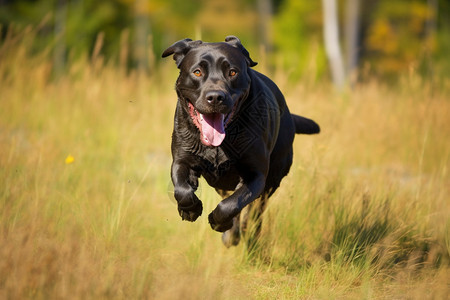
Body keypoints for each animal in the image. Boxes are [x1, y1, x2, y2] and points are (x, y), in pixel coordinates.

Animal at [163, 35, 320, 246]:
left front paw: (219, 223)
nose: (215, 97)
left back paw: (243, 233)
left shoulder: (256, 176)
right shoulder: (182, 160)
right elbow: (182, 189)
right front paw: (190, 210)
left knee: (255, 212)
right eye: (197, 72)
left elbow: (232, 204)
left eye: (232, 72)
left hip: (272, 180)